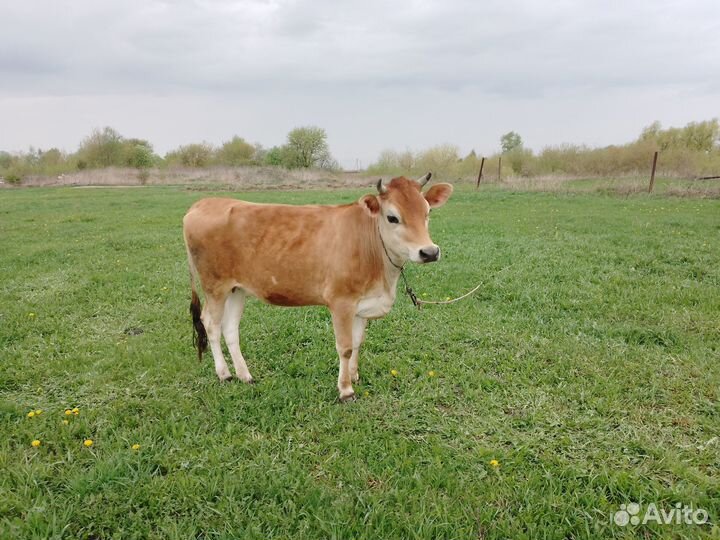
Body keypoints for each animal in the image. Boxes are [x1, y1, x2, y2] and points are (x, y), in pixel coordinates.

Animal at [182, 173, 453, 402]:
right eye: (392, 217)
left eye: (427, 212)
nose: (429, 252)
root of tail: (202, 203)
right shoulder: (341, 302)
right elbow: (345, 347)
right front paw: (346, 390)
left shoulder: (362, 303)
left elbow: (357, 342)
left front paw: (354, 375)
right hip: (215, 287)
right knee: (211, 324)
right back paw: (224, 374)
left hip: (237, 289)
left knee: (230, 329)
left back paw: (244, 375)